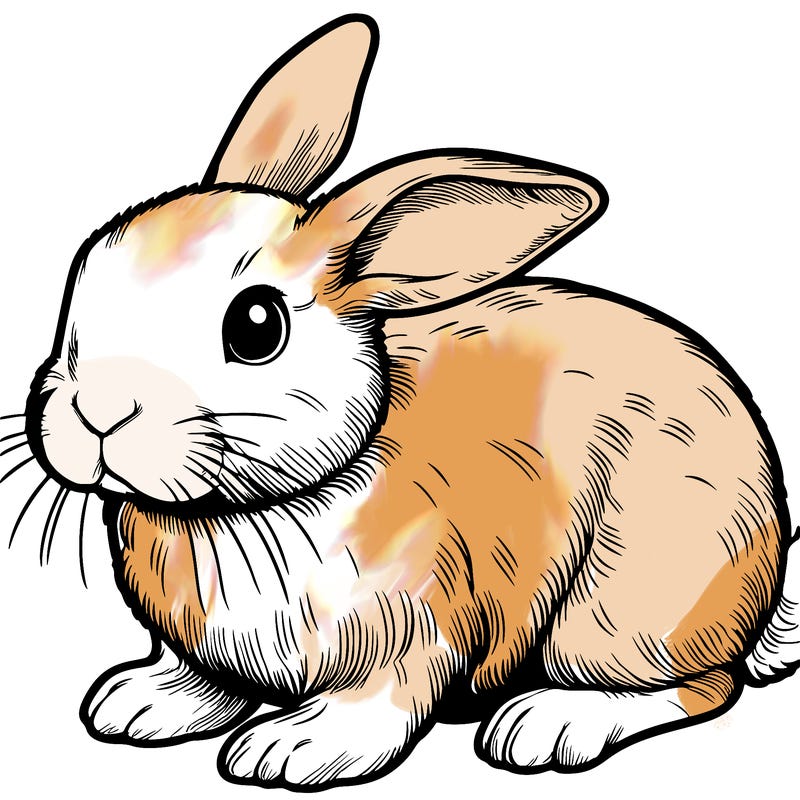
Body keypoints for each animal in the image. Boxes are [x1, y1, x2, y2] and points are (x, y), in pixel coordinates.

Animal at [14, 11, 800, 791]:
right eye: (86, 274)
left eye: (257, 326)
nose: (97, 410)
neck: (247, 511)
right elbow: (206, 681)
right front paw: (141, 702)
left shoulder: (418, 626)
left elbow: (380, 702)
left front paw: (292, 749)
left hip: (620, 615)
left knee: (702, 684)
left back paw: (547, 724)